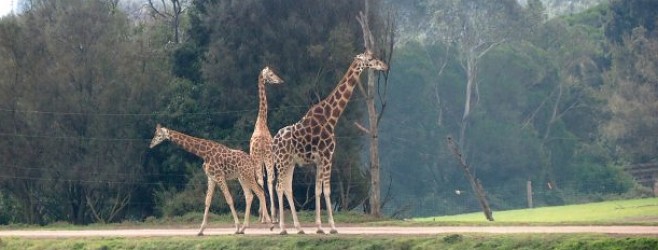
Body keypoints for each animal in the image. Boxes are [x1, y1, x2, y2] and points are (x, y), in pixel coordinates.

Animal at [270, 49, 386, 234]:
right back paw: (282, 228)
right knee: (279, 187)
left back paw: (299, 228)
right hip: (282, 161)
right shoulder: (327, 155)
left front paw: (319, 227)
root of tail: (274, 142)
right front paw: (332, 227)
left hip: (290, 163)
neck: (331, 117)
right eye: (372, 58)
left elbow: (318, 190)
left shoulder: (319, 160)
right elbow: (327, 191)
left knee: (287, 187)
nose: (384, 66)